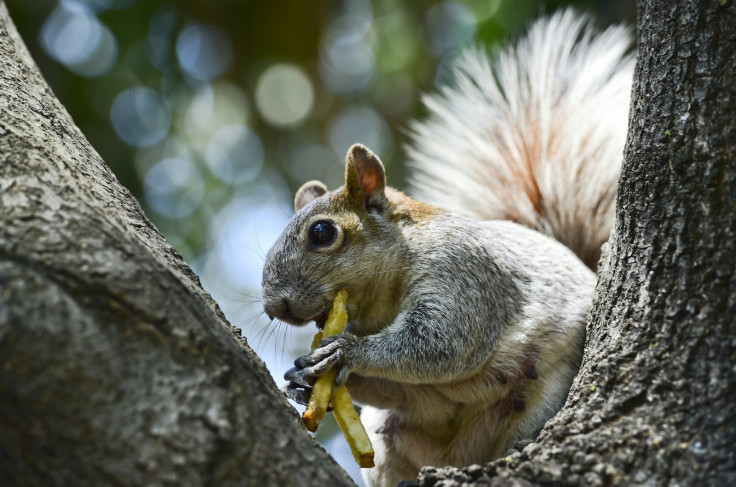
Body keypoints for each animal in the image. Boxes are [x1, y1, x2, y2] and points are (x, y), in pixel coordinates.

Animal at [262, 9, 636, 487]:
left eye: (322, 233)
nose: (274, 306)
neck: (379, 304)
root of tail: (459, 455)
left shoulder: (462, 272)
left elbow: (444, 343)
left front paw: (345, 351)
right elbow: (393, 386)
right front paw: (299, 379)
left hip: (544, 393)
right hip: (392, 440)